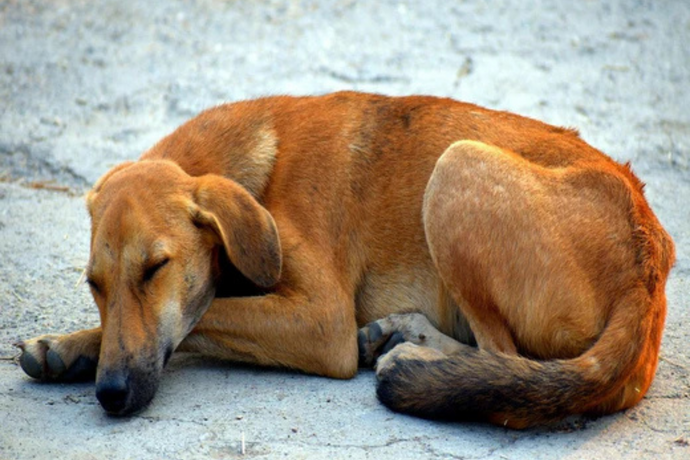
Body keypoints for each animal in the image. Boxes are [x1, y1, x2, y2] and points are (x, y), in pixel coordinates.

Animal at [16, 90, 672, 428]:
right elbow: (139, 326)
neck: (261, 174)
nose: (111, 394)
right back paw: (404, 335)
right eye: (95, 284)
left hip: (456, 169)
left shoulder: (322, 321)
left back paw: (421, 359)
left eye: (156, 269)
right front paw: (67, 347)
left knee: (506, 360)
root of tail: (648, 273)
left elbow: (206, 313)